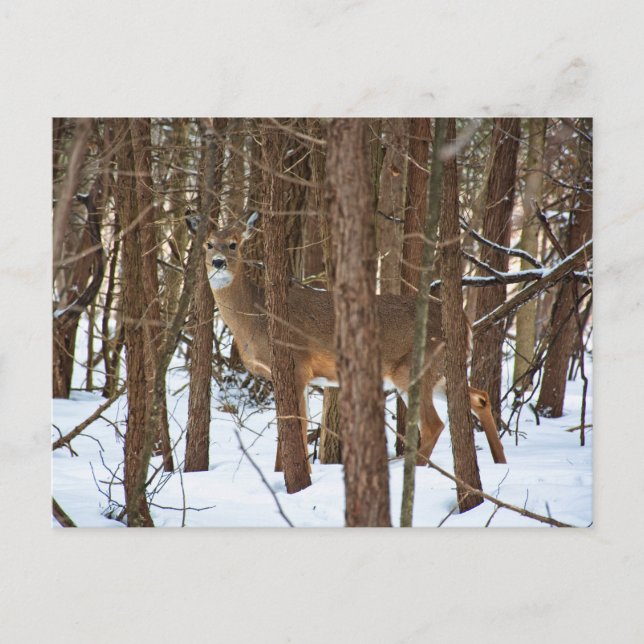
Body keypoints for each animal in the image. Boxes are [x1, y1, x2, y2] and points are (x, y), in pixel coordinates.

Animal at [189, 212, 507, 472]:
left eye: (233, 244)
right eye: (208, 244)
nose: (218, 263)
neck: (256, 319)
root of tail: (464, 322)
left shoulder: (298, 365)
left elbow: (298, 426)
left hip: (415, 368)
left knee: (434, 424)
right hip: (440, 372)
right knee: (480, 397)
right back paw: (499, 461)